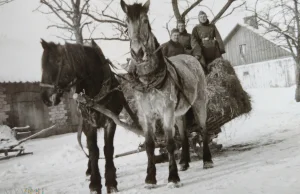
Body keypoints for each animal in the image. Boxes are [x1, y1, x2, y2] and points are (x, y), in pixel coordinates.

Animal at [39, 38, 137, 193]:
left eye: (57, 61)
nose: (45, 98)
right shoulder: (88, 123)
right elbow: (93, 151)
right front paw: (95, 183)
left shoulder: (111, 121)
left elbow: (108, 149)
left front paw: (111, 182)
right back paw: (89, 170)